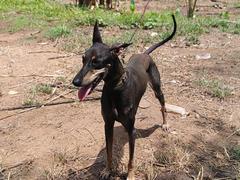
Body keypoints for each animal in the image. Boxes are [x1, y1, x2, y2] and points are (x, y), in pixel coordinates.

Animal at [72, 15, 176, 179]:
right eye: (83, 59)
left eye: (96, 62)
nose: (75, 82)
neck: (115, 88)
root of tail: (144, 54)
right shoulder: (108, 125)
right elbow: (108, 152)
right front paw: (107, 170)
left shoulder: (130, 132)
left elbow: (130, 160)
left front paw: (130, 175)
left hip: (157, 89)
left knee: (162, 106)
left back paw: (165, 124)